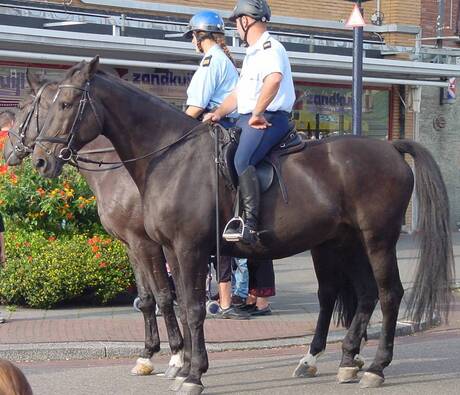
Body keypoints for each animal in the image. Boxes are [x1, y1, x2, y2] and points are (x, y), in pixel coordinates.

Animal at [4, 74, 185, 380]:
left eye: (23, 106)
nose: (8, 151)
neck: (119, 171)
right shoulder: (131, 245)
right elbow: (147, 298)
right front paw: (147, 355)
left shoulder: (148, 244)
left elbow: (164, 296)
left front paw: (177, 357)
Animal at [31, 57, 452, 394]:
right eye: (43, 108)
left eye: (65, 104)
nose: (39, 160)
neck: (170, 157)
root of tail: (391, 147)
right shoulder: (168, 250)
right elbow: (178, 305)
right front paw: (182, 364)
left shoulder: (186, 248)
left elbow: (191, 308)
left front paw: (192, 373)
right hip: (344, 243)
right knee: (359, 294)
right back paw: (339, 360)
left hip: (378, 240)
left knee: (389, 294)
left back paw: (376, 367)